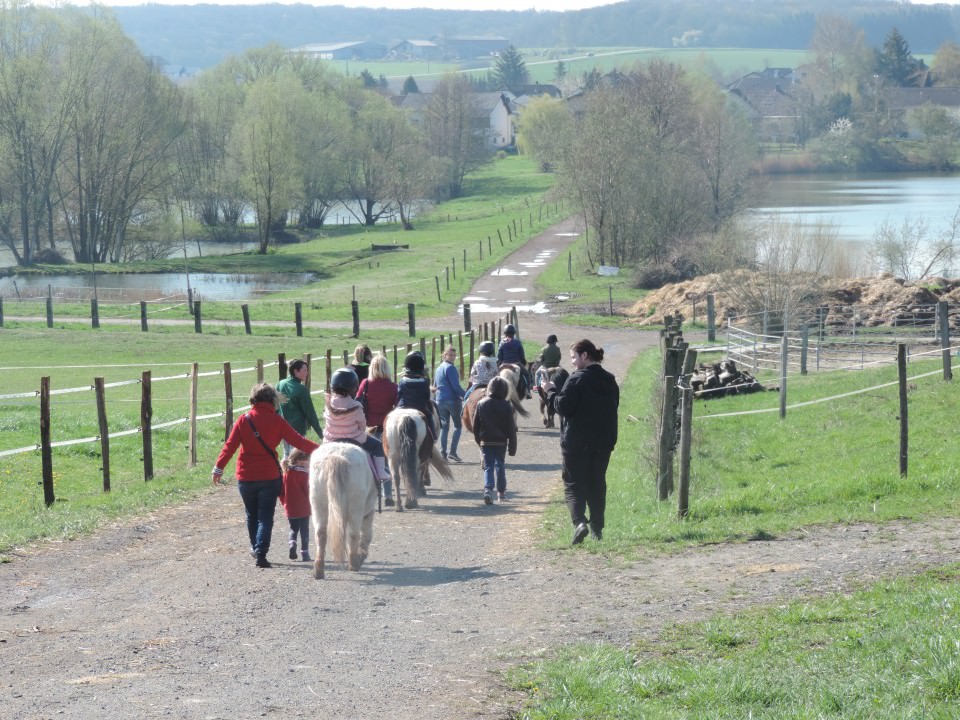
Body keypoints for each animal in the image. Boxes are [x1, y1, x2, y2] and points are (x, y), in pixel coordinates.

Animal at [312, 442, 378, 576]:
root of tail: (336, 456)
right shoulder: (368, 511)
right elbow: (367, 534)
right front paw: (362, 555)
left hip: (318, 504)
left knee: (320, 534)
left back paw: (318, 570)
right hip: (356, 507)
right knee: (354, 534)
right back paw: (354, 564)